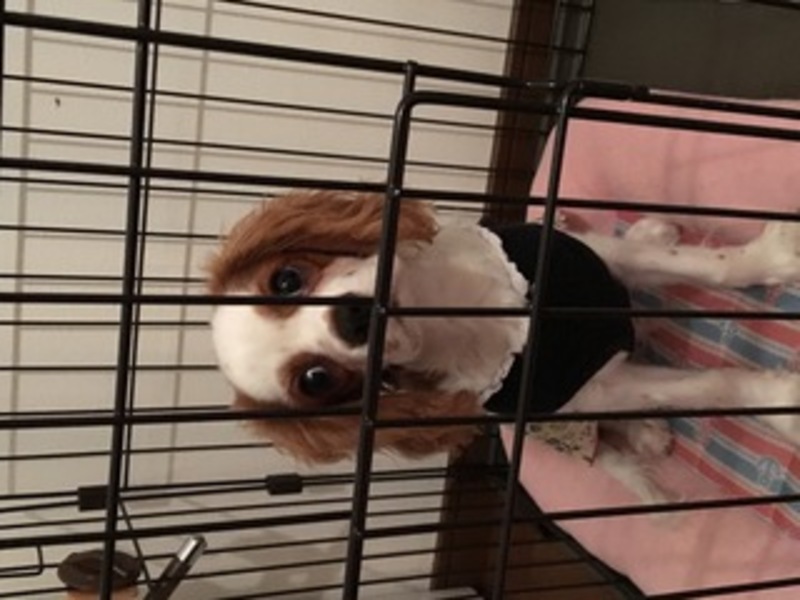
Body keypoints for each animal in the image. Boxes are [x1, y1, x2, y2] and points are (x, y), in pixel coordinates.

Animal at [207, 190, 800, 496]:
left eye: (287, 279)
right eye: (315, 379)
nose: (351, 319)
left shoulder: (590, 260)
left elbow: (704, 267)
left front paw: (768, 258)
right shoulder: (591, 389)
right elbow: (712, 384)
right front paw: (780, 404)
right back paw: (646, 435)